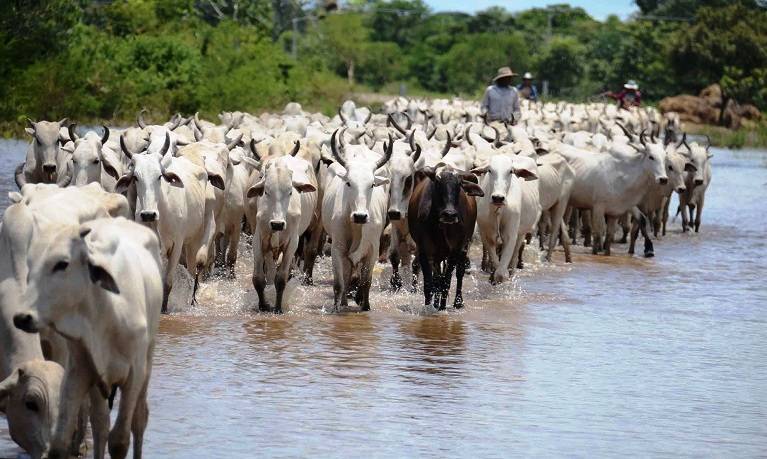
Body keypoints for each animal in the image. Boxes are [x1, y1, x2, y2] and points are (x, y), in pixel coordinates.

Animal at [412, 160, 484, 310]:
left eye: (459, 184)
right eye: (438, 182)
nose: (449, 214)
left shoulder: (455, 250)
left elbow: (446, 282)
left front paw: (442, 308)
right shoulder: (424, 250)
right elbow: (430, 284)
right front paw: (429, 307)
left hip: (464, 247)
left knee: (459, 273)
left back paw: (458, 302)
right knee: (437, 279)